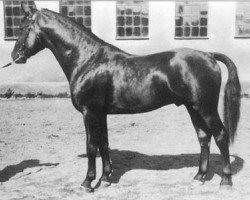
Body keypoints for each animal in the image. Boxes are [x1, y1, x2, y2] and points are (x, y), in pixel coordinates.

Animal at [10, 2, 241, 191]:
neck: (88, 60)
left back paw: (225, 181)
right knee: (204, 137)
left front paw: (87, 182)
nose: (14, 56)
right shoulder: (100, 114)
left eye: (23, 28)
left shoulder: (89, 113)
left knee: (221, 136)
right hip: (192, 108)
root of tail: (209, 55)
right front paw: (105, 179)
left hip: (206, 108)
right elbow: (104, 144)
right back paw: (199, 177)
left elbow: (91, 146)